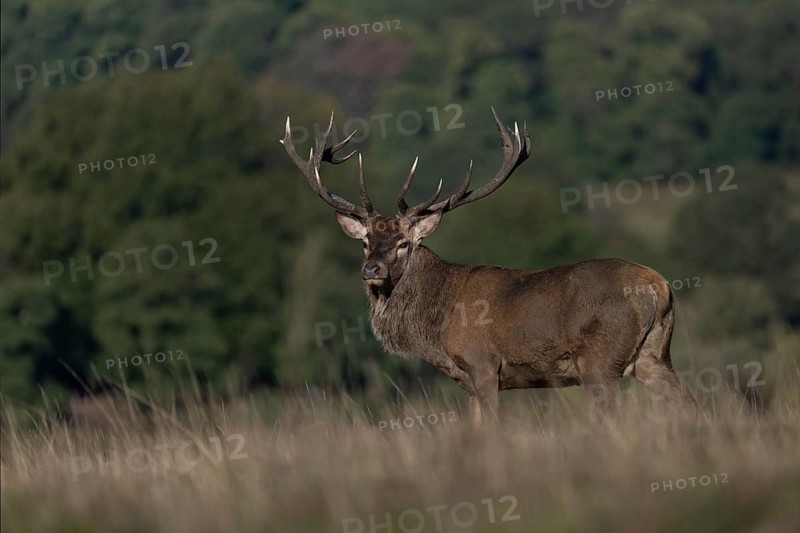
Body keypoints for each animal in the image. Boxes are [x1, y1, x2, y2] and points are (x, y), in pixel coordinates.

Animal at [281, 108, 695, 422]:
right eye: (365, 241)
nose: (372, 270)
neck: (436, 330)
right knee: (688, 404)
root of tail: (660, 288)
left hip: (600, 358)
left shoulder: (483, 364)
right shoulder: (467, 381)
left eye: (403, 243)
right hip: (654, 355)